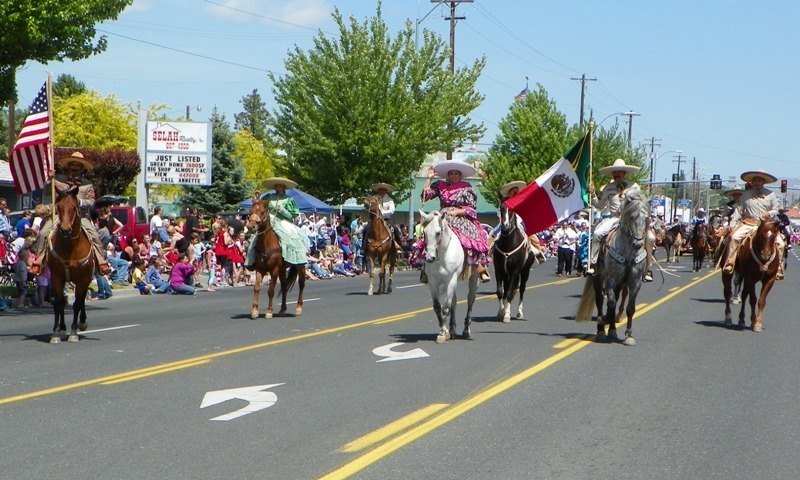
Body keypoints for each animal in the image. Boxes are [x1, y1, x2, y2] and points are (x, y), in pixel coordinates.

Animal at [46, 186, 95, 344]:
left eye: (74, 207)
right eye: (59, 206)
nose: (65, 230)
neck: (70, 248)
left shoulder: (82, 279)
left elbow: (77, 304)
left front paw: (73, 332)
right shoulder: (56, 277)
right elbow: (58, 304)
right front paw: (56, 332)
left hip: (86, 279)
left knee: (82, 298)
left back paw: (82, 322)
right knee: (63, 301)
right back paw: (62, 328)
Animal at [422, 209, 478, 342]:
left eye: (438, 233)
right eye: (424, 232)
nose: (429, 258)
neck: (442, 255)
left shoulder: (451, 279)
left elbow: (446, 307)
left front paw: (443, 333)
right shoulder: (432, 281)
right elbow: (438, 307)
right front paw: (444, 331)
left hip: (474, 276)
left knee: (470, 299)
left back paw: (466, 330)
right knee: (455, 302)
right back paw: (452, 330)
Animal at [580, 188, 652, 344]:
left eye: (646, 218)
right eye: (632, 217)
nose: (638, 244)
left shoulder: (635, 281)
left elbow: (630, 308)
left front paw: (629, 335)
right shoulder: (610, 280)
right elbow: (611, 304)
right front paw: (604, 319)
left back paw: (612, 329)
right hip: (598, 278)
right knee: (600, 301)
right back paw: (601, 330)